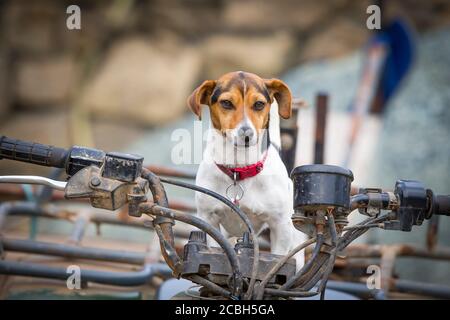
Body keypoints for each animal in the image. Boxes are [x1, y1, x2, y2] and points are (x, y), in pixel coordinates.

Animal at [185, 71, 306, 268]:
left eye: (259, 104)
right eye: (226, 103)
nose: (247, 134)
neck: (239, 170)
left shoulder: (280, 227)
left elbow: (278, 260)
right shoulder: (209, 220)